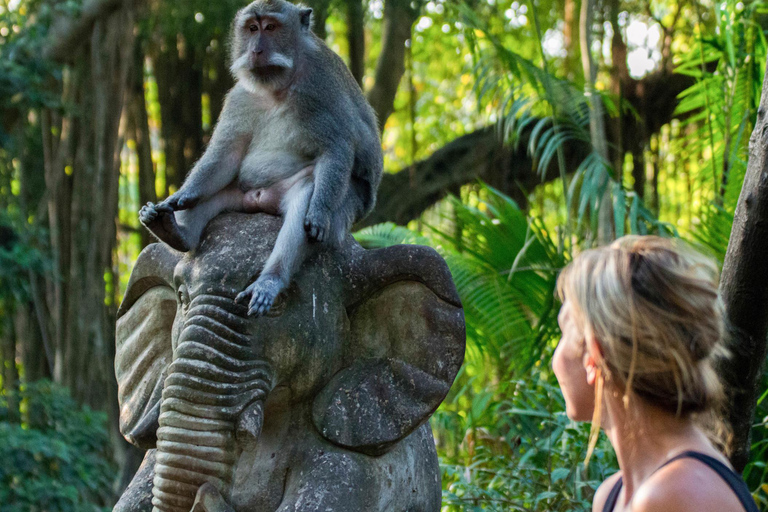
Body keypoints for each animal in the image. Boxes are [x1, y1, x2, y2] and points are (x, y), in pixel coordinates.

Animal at [139, 0, 384, 316]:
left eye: (271, 27)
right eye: (252, 28)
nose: (256, 50)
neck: (277, 85)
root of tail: (262, 200)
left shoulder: (320, 87)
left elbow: (336, 148)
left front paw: (318, 212)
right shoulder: (240, 97)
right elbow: (226, 155)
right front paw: (182, 196)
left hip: (348, 203)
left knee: (307, 195)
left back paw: (271, 280)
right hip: (240, 197)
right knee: (216, 191)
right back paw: (175, 232)